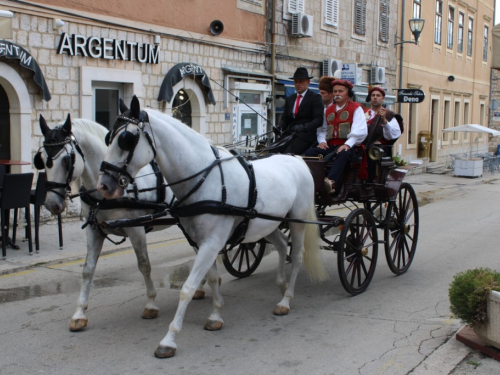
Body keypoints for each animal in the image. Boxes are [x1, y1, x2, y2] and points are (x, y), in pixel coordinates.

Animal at [36, 114, 206, 332]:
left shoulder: (136, 230)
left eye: (66, 160)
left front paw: (151, 304)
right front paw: (79, 313)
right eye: (41, 159)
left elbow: (144, 265)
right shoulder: (94, 230)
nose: (51, 204)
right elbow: (88, 269)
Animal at [96, 97, 328, 358]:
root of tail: (295, 159)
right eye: (109, 137)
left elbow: (187, 288)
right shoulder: (201, 243)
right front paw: (216, 314)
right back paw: (280, 285)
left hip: (297, 221)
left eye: (127, 139)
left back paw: (286, 299)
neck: (206, 180)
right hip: (268, 223)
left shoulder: (212, 242)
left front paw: (169, 340)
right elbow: (213, 278)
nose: (104, 185)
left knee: (296, 256)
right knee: (280, 245)